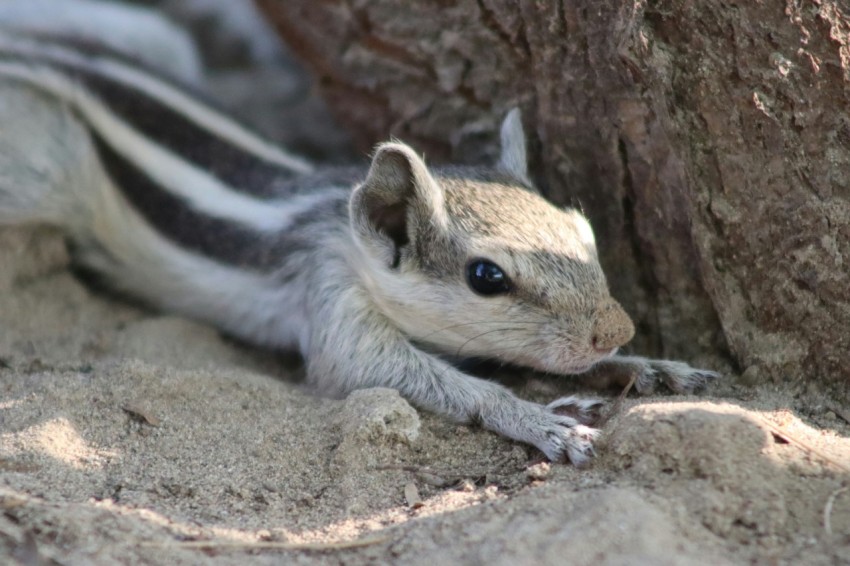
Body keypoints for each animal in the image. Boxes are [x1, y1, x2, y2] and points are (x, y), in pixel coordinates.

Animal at [0, 0, 716, 464]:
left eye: (584, 232)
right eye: (487, 277)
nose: (615, 329)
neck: (340, 225)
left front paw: (644, 366)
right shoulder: (332, 295)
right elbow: (379, 370)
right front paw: (540, 419)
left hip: (152, 41)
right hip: (39, 167)